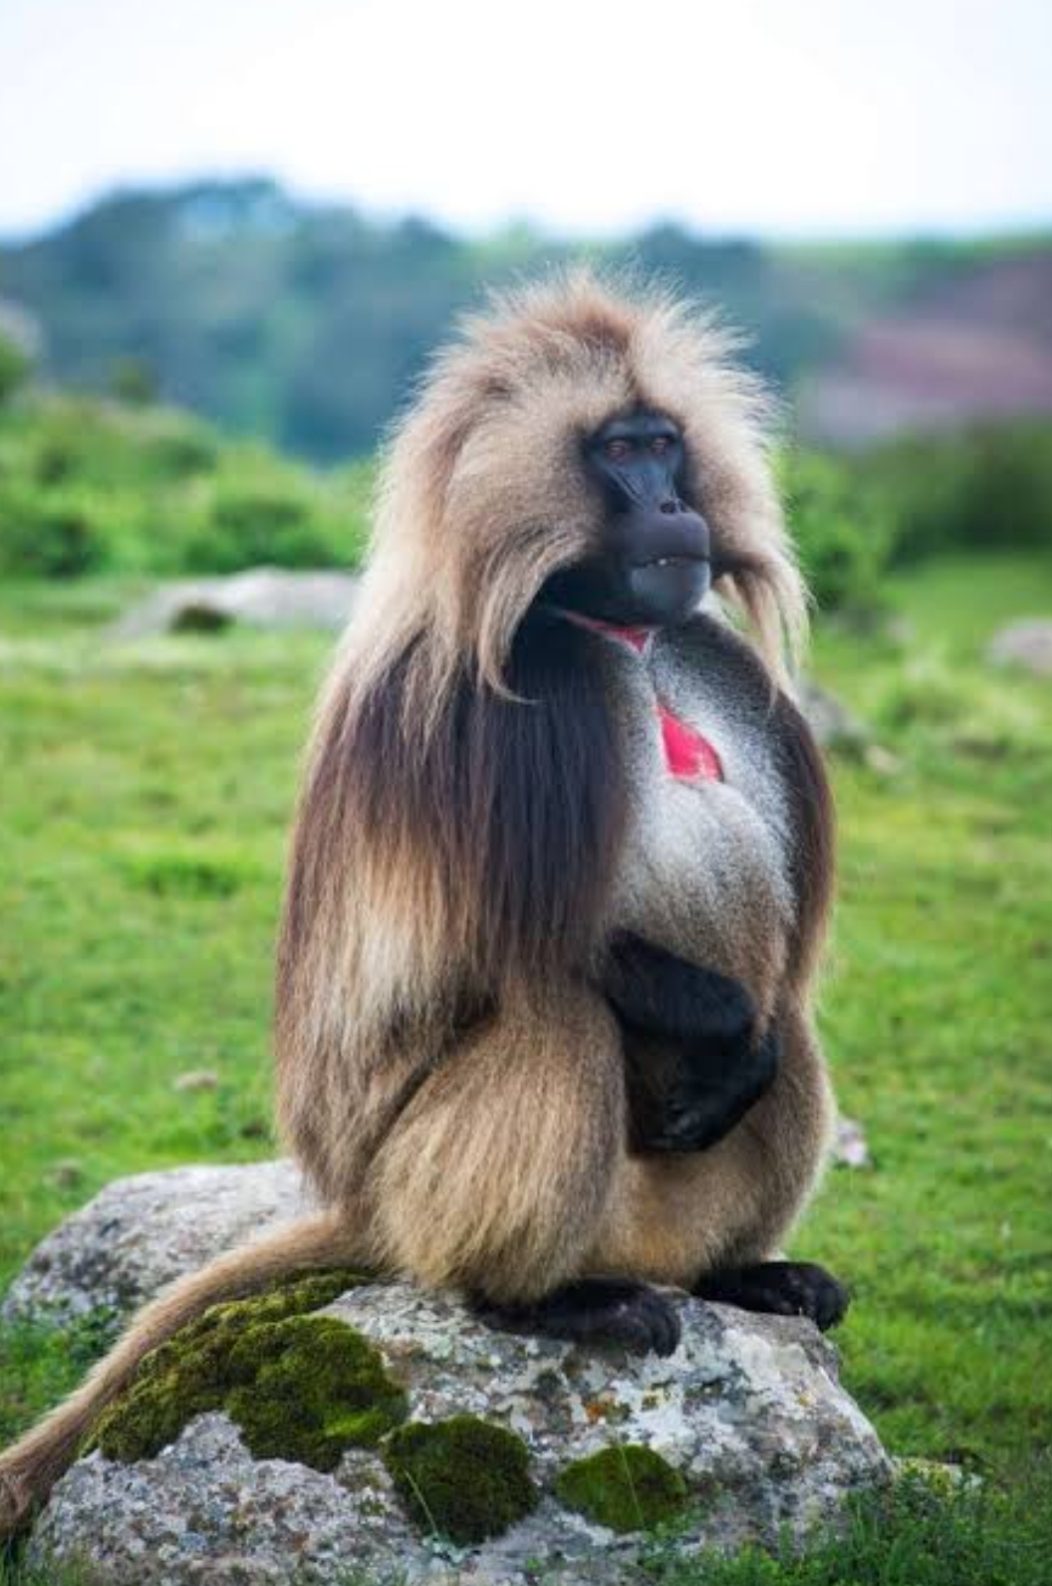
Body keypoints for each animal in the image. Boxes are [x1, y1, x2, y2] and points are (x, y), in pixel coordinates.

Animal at [0, 271, 845, 1537]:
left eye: (663, 443)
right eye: (617, 452)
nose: (669, 505)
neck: (614, 636)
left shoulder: (705, 651)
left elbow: (765, 977)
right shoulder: (519, 701)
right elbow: (543, 945)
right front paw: (715, 1048)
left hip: (662, 1210)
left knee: (786, 1018)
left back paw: (739, 1273)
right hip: (420, 1185)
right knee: (563, 1013)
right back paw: (534, 1300)